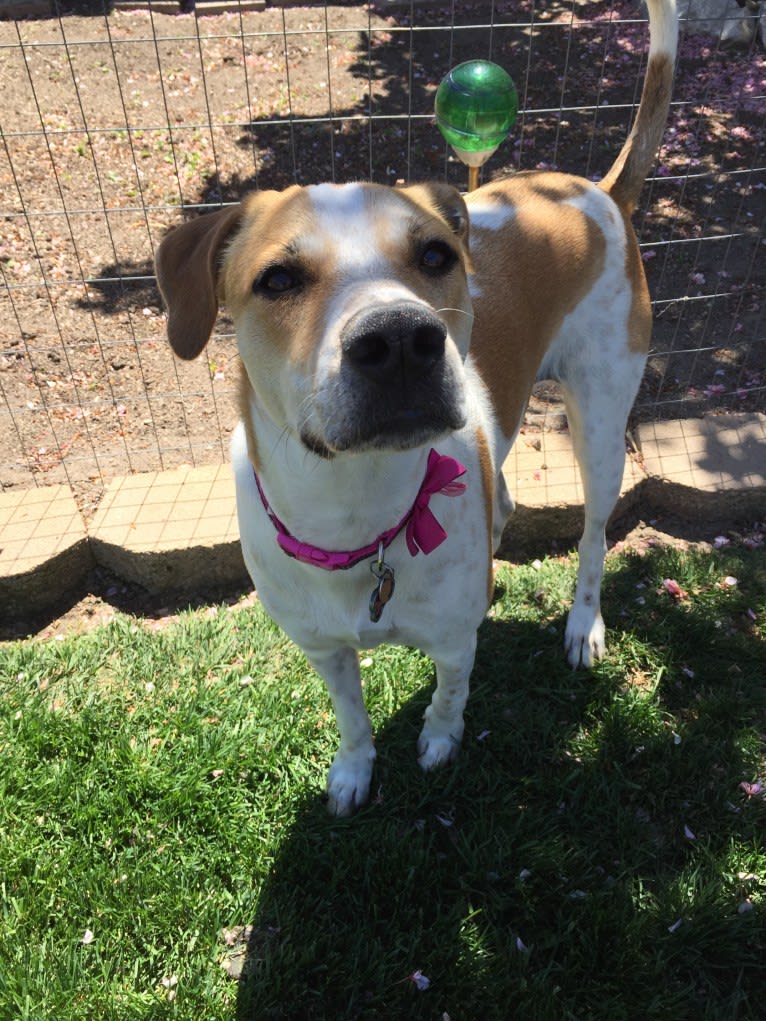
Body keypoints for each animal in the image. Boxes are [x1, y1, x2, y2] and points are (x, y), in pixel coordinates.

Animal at [154, 0, 678, 812]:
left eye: (436, 256)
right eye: (277, 279)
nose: (400, 338)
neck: (358, 515)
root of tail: (595, 188)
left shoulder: (456, 640)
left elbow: (451, 692)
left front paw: (437, 741)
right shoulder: (320, 646)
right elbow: (349, 712)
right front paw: (353, 769)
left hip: (600, 417)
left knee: (593, 536)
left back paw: (583, 624)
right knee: (513, 504)